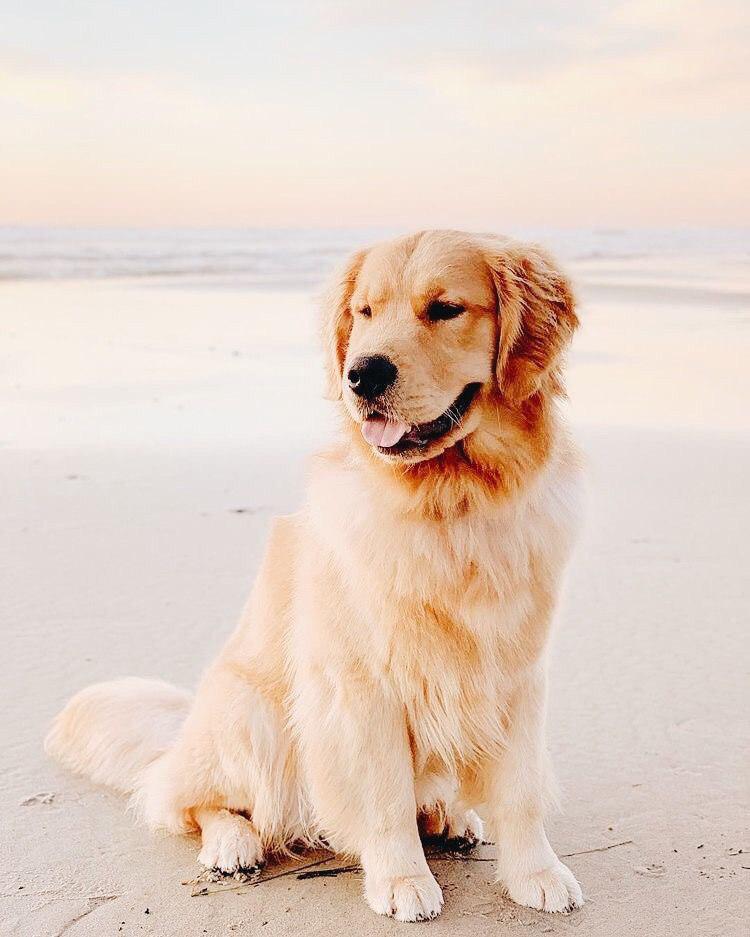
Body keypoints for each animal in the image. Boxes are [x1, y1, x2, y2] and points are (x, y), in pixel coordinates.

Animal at [47, 230, 584, 916]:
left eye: (445, 309)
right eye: (365, 312)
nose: (363, 373)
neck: (450, 505)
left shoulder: (515, 673)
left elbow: (520, 790)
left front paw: (536, 874)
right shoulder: (360, 684)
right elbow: (383, 797)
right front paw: (401, 880)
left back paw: (449, 814)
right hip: (252, 717)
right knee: (190, 802)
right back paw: (233, 844)